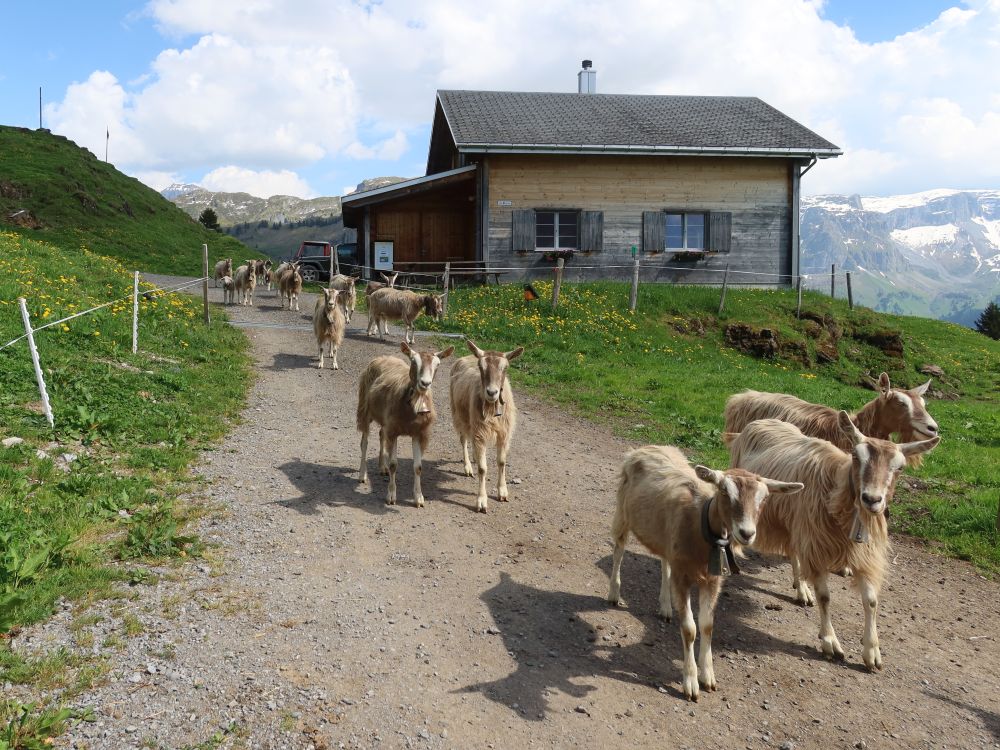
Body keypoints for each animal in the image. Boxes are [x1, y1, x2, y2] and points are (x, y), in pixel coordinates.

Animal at [357, 342, 454, 507]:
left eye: (438, 364)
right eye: (413, 361)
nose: (425, 383)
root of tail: (381, 358)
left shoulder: (418, 433)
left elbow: (418, 467)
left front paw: (419, 498)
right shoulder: (394, 430)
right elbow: (394, 464)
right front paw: (391, 496)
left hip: (385, 419)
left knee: (381, 434)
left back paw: (382, 467)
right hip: (365, 409)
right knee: (364, 442)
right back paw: (362, 475)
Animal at [449, 339, 524, 512]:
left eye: (505, 368)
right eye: (480, 367)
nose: (492, 392)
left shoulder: (504, 433)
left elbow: (501, 462)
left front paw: (502, 491)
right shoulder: (480, 432)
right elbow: (483, 469)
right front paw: (481, 500)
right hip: (459, 415)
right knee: (463, 440)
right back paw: (468, 466)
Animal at [608, 445, 803, 701]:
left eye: (764, 498)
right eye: (724, 491)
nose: (747, 533)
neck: (701, 524)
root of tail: (649, 447)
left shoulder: (712, 579)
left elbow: (707, 625)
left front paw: (708, 676)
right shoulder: (682, 576)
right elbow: (690, 629)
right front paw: (691, 682)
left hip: (664, 538)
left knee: (663, 561)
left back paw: (665, 607)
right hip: (622, 511)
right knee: (619, 549)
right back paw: (614, 593)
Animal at [726, 415, 938, 670]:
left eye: (900, 467)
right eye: (856, 457)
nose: (872, 499)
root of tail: (761, 421)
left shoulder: (864, 554)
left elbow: (871, 601)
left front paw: (872, 652)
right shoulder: (815, 544)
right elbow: (825, 597)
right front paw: (830, 642)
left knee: (794, 552)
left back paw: (801, 590)